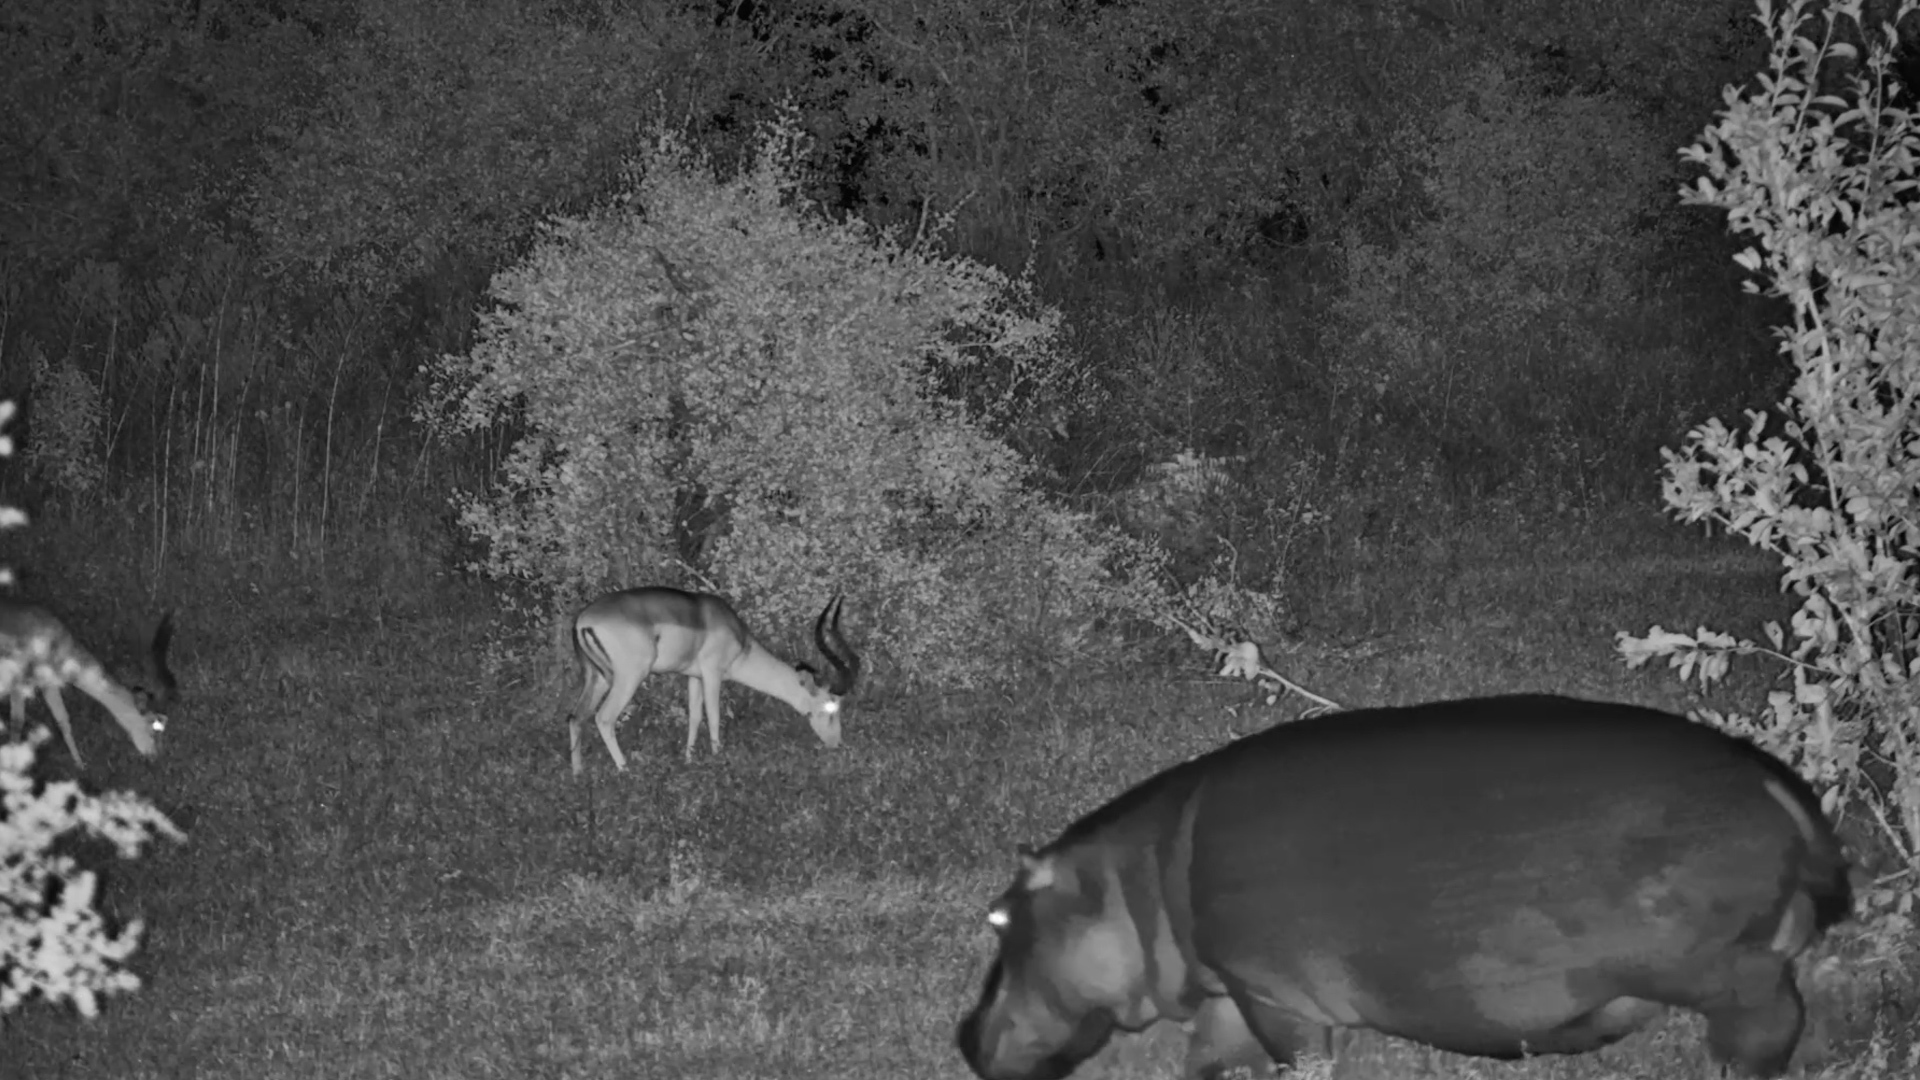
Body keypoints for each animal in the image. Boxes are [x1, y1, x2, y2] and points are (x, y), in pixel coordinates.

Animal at [0, 603, 177, 767]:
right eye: (154, 726)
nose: (154, 756)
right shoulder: (19, 677)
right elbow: (17, 722)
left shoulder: (47, 683)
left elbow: (62, 720)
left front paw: (79, 763)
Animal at [566, 588, 860, 774]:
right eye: (830, 708)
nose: (837, 744)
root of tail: (584, 621)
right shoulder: (712, 672)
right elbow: (714, 715)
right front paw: (718, 760)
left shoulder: (693, 676)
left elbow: (695, 717)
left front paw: (689, 761)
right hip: (628, 677)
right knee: (604, 717)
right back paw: (625, 769)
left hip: (597, 678)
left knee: (576, 717)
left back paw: (578, 775)